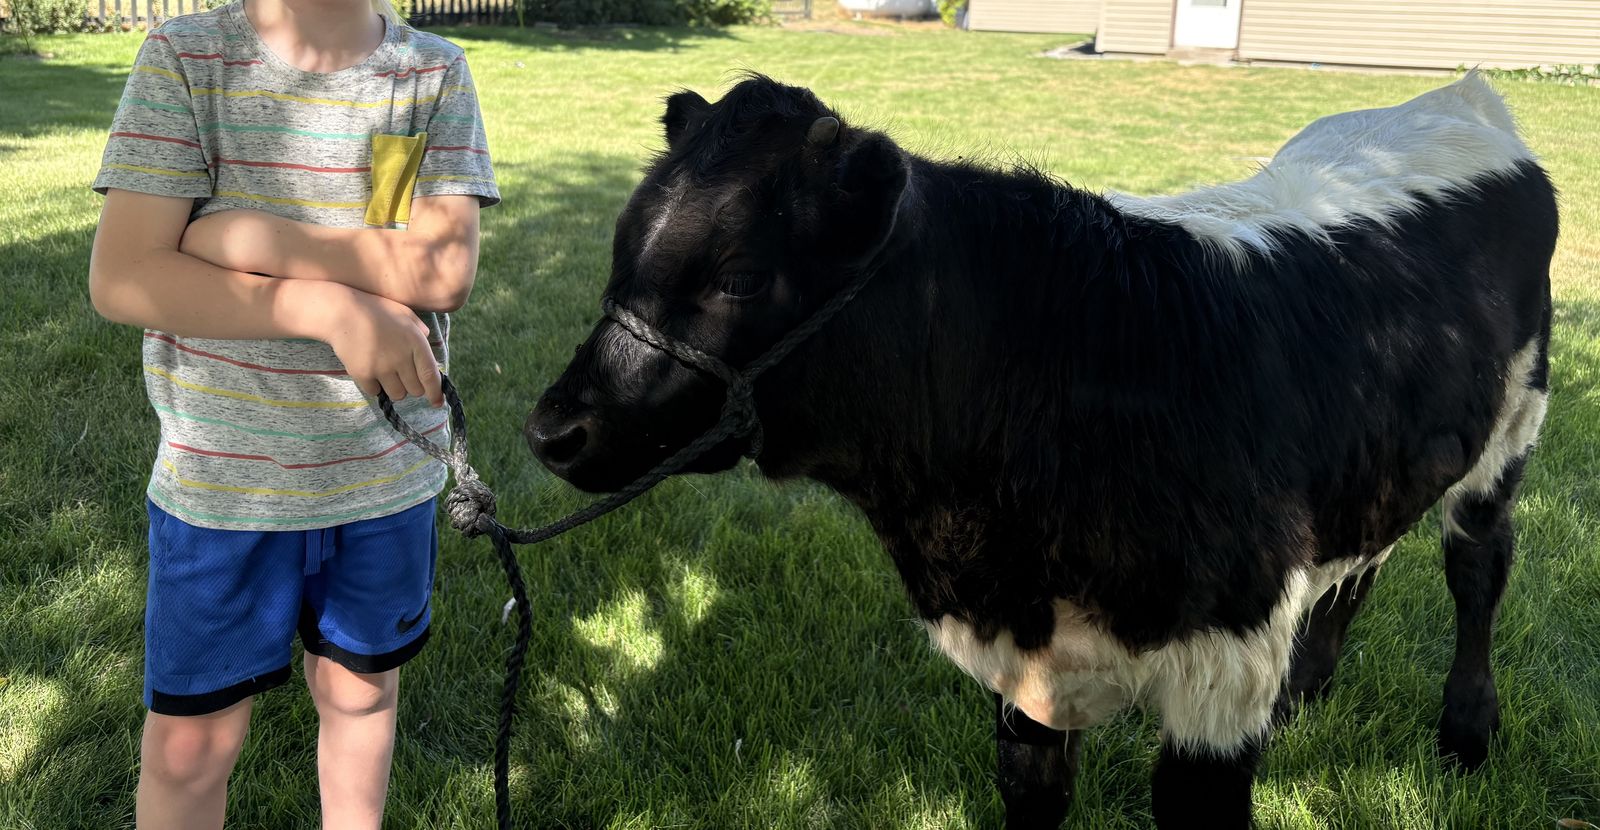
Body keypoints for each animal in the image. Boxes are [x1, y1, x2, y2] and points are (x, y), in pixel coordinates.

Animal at [523, 73, 1557, 827]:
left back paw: (1468, 734)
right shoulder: (1024, 676)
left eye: (739, 275)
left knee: (1478, 568)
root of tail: (1455, 98)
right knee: (1365, 556)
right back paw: (1310, 693)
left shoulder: (1222, 671)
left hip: (1512, 428)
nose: (554, 430)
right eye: (623, 249)